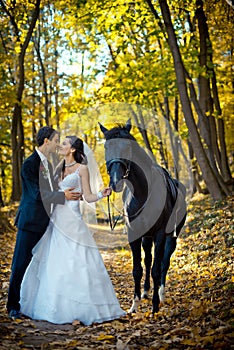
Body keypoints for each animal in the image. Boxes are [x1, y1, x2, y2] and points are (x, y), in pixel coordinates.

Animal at [99, 119, 187, 314]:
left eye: (127, 147)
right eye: (107, 147)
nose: (115, 182)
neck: (142, 194)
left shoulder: (160, 234)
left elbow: (156, 269)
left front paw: (154, 306)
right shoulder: (134, 234)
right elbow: (138, 269)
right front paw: (135, 304)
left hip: (171, 236)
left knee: (163, 262)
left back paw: (160, 294)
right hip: (147, 237)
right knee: (148, 260)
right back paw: (147, 291)